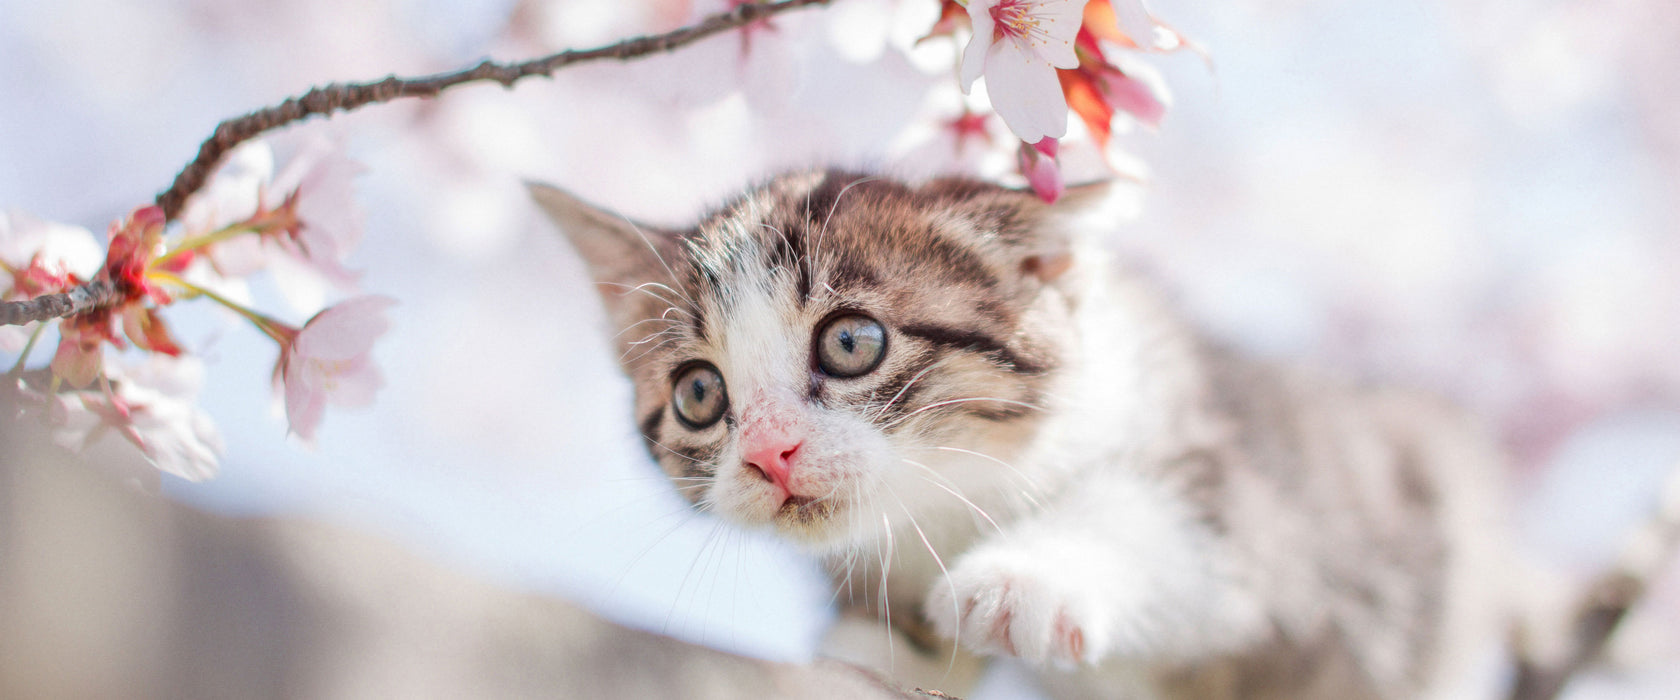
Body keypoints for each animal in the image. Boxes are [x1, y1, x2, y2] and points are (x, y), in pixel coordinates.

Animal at [537, 170, 1512, 698]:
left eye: (851, 343)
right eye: (700, 393)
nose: (769, 452)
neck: (960, 492)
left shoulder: (1250, 489)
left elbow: (1177, 519)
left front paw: (1019, 581)